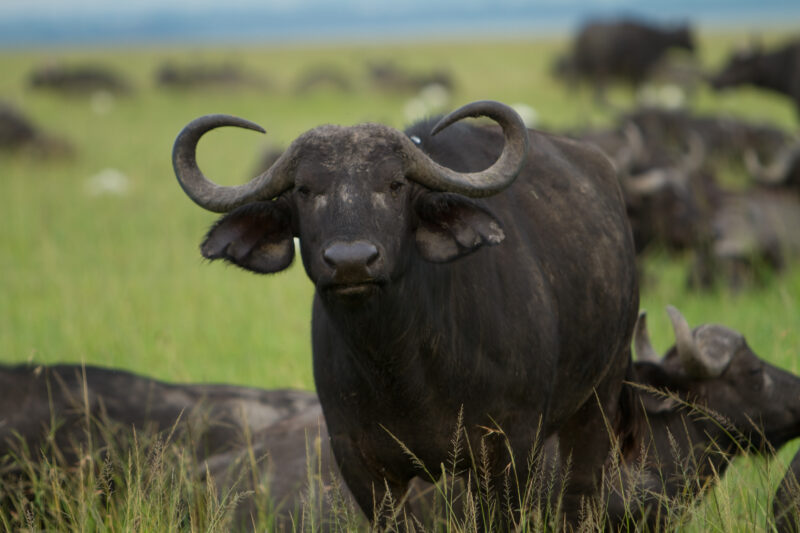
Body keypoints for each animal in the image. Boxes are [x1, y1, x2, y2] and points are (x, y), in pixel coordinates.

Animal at [172, 100, 639, 525]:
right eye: (305, 189)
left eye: (395, 185)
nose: (351, 261)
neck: (402, 365)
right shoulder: (361, 463)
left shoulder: (509, 447)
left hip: (601, 397)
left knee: (581, 494)